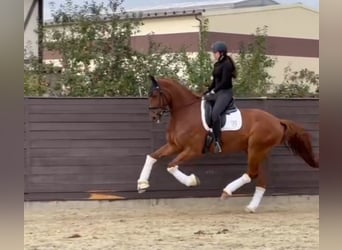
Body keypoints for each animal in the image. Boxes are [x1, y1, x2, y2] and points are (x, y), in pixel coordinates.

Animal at [136, 75, 318, 212]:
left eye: (155, 95)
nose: (153, 117)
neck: (185, 112)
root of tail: (277, 121)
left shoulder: (193, 150)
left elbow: (171, 166)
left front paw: (192, 181)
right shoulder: (175, 146)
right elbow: (151, 157)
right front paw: (142, 184)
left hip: (255, 149)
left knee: (252, 174)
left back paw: (227, 191)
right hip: (256, 151)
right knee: (261, 179)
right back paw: (251, 207)